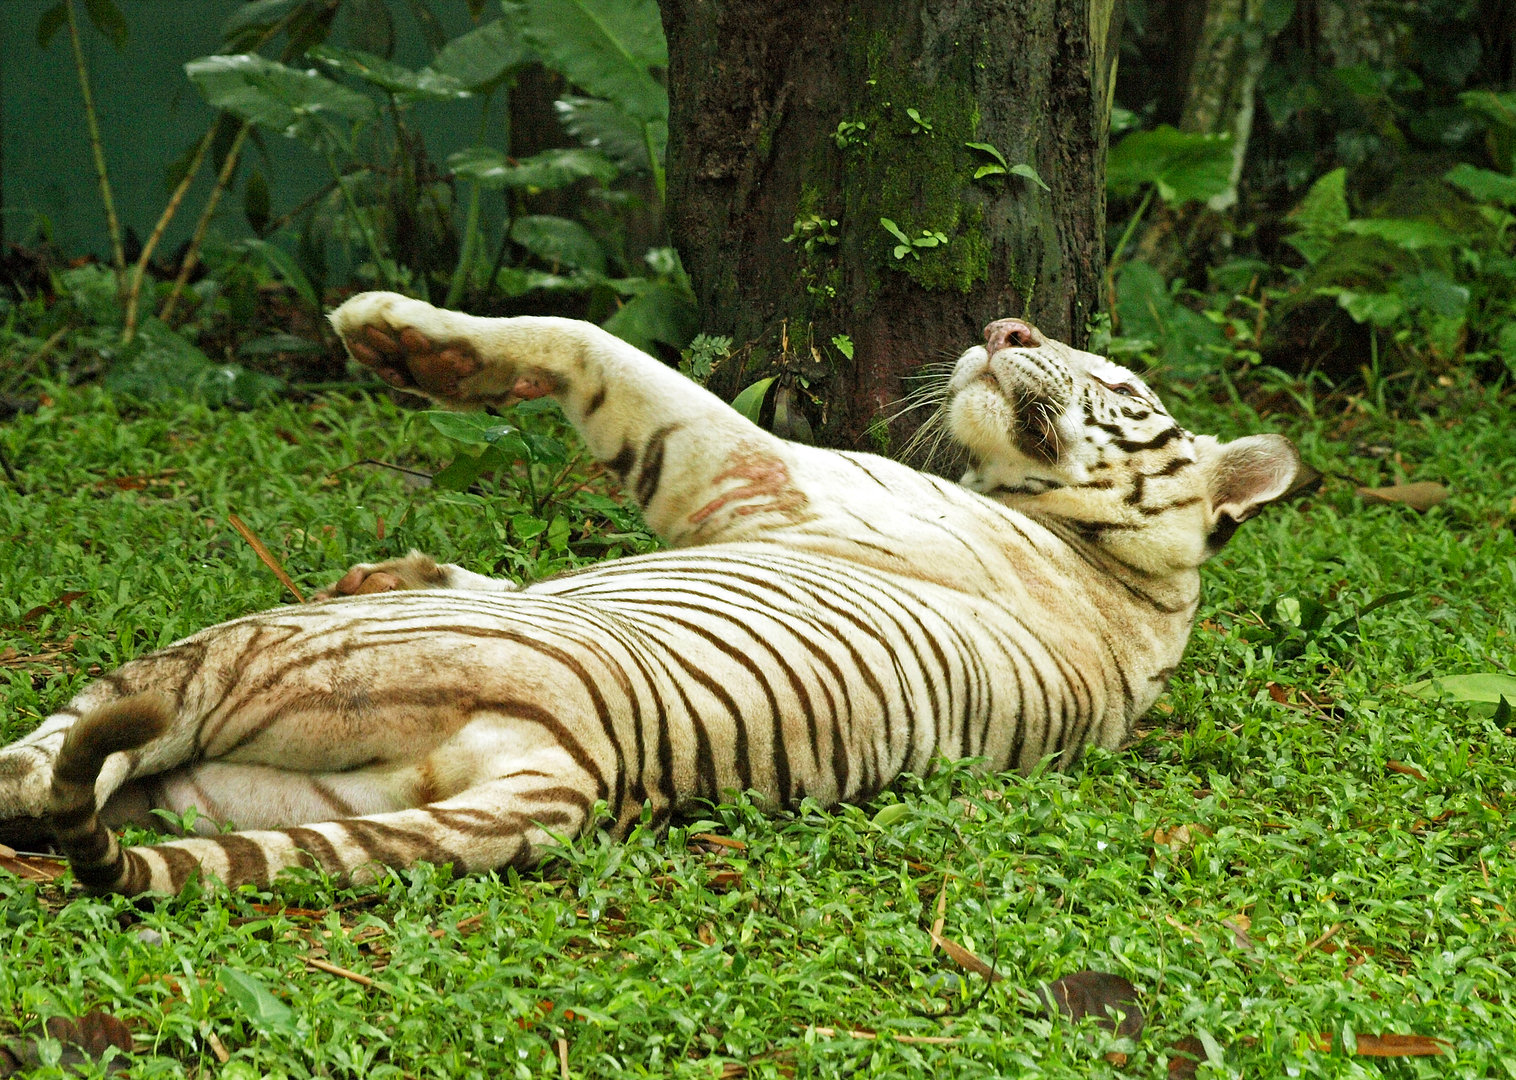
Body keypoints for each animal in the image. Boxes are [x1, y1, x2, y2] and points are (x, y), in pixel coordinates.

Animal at [0, 292, 1306, 895]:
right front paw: (403, 556)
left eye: (1118, 382)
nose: (1007, 323)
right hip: (232, 785)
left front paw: (401, 338)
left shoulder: (756, 467)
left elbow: (597, 344)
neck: (1128, 581)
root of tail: (570, 772)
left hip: (238, 657)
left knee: (44, 760)